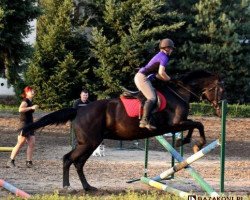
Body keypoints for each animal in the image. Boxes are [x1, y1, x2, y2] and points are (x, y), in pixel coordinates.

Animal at [22, 69, 225, 192]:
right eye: (222, 90)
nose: (219, 110)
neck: (179, 93)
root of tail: (79, 109)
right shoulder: (175, 124)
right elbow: (197, 124)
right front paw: (193, 143)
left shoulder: (177, 124)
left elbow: (196, 124)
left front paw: (188, 142)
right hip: (89, 143)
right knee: (68, 159)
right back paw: (67, 187)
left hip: (90, 143)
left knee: (78, 163)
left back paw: (88, 187)